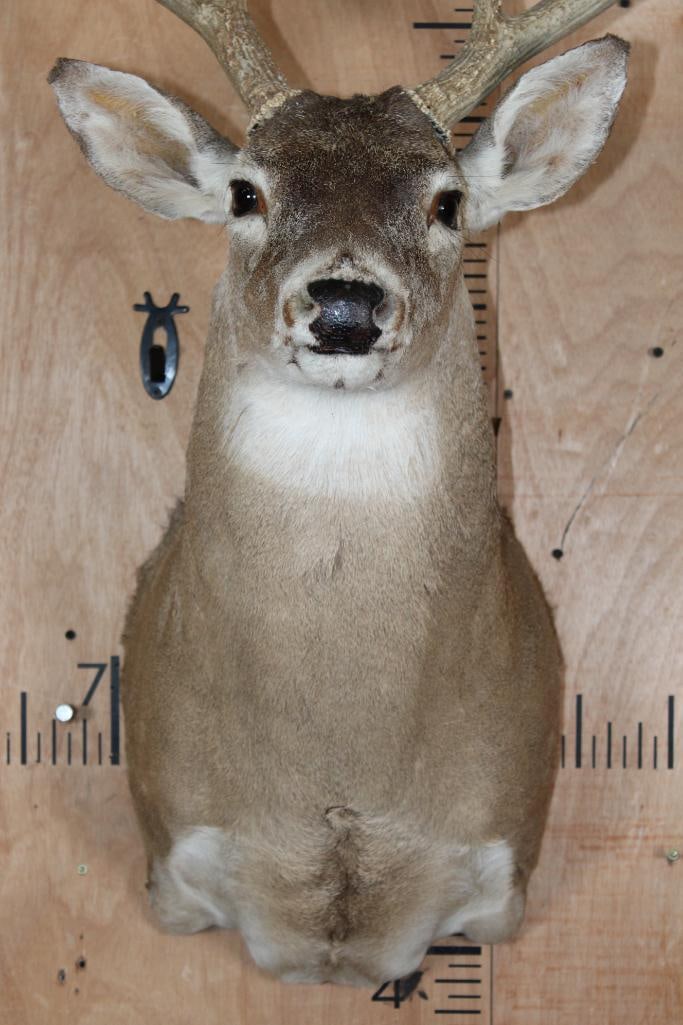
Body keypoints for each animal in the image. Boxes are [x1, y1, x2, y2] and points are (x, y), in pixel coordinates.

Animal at [49, 0, 628, 990]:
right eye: (245, 193)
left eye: (447, 201)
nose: (345, 305)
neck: (340, 769)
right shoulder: (172, 867)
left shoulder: (501, 876)